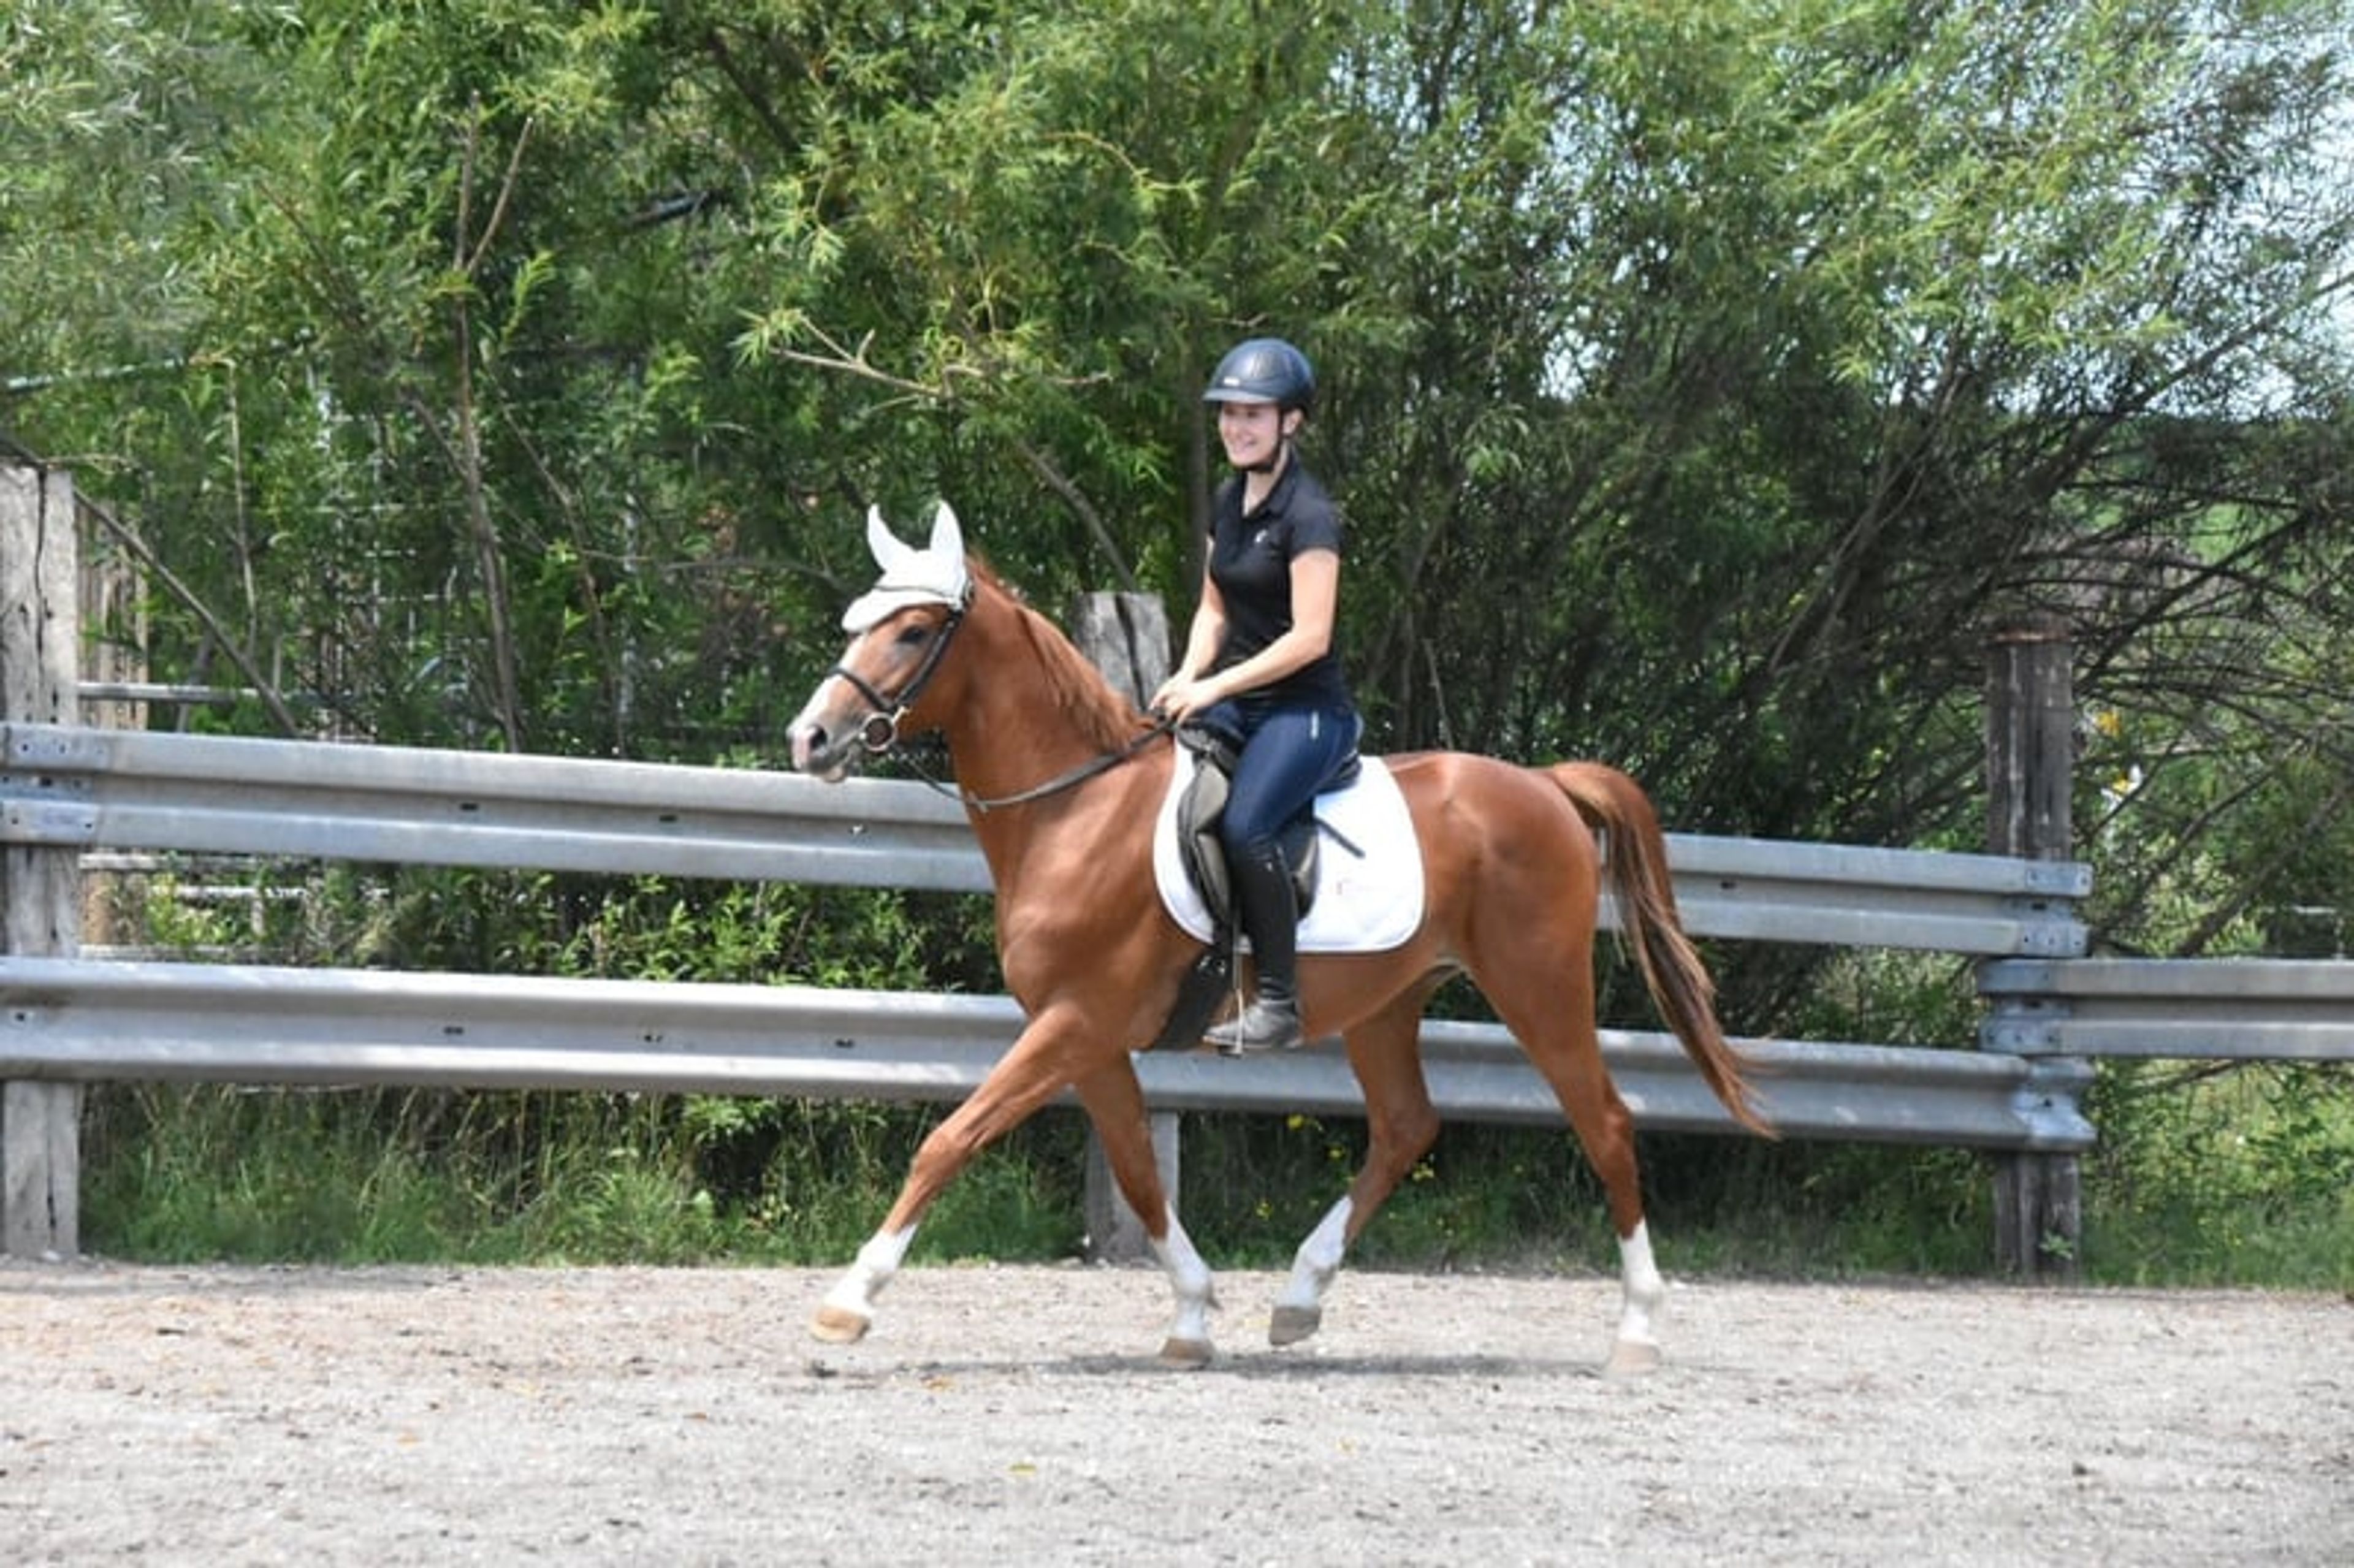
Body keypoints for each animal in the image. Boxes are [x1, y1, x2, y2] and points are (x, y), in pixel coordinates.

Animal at [784, 503, 1774, 1373]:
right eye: (859, 623)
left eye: (913, 632)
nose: (811, 738)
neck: (1076, 809)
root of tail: (1544, 786)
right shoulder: (1087, 1037)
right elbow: (1138, 1171)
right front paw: (1192, 1318)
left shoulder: (1075, 1021)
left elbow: (950, 1138)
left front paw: (848, 1301)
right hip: (1388, 1003)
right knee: (1406, 1125)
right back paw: (1300, 1298)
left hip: (1540, 982)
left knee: (1603, 1120)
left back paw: (1637, 1332)